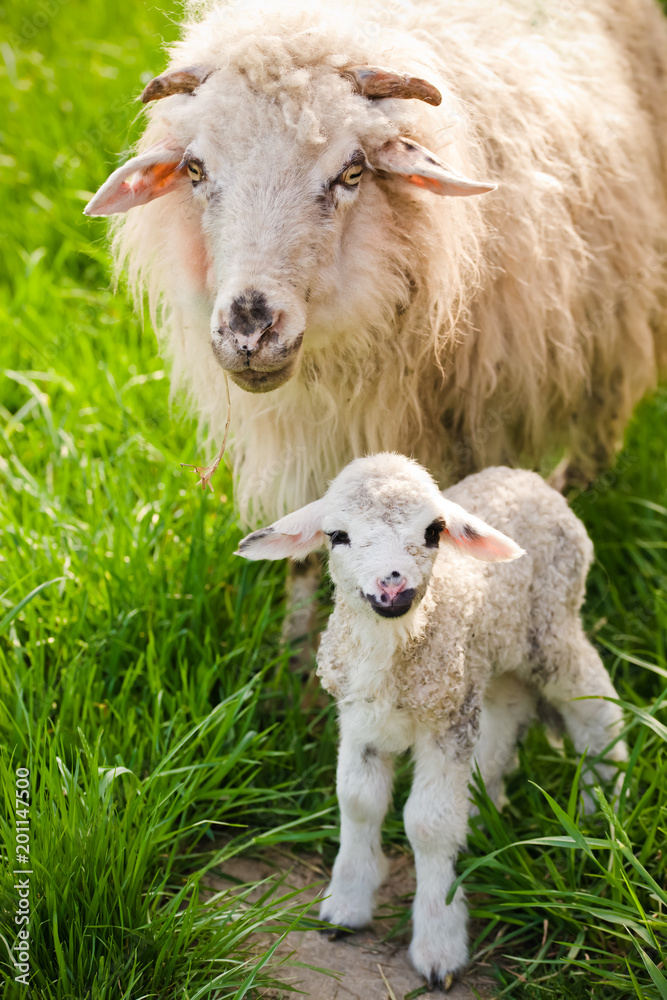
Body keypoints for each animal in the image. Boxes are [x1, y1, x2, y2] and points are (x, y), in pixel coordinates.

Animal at [237, 456, 628, 992]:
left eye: (433, 531)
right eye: (337, 536)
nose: (392, 585)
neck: (397, 651)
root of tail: (526, 476)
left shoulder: (447, 721)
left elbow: (429, 824)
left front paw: (439, 943)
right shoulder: (359, 718)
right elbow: (358, 802)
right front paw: (346, 906)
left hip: (551, 625)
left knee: (595, 704)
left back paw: (604, 804)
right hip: (489, 653)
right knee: (508, 709)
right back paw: (486, 806)